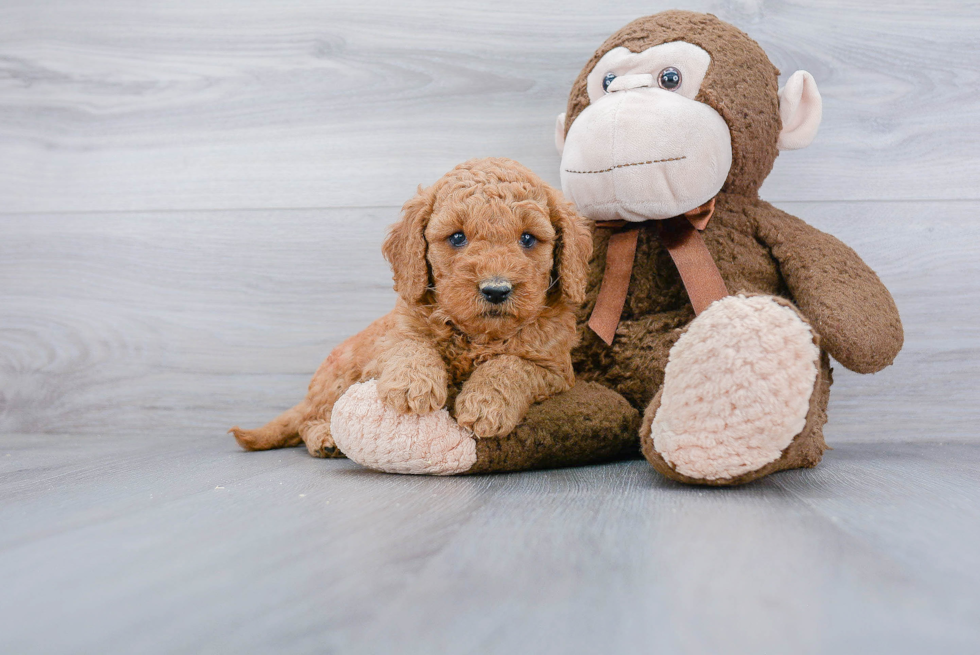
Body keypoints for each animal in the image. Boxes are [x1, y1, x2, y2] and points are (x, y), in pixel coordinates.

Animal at [231, 158, 592, 456]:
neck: (477, 336)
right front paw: (412, 384)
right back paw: (325, 437)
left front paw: (486, 406)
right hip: (336, 376)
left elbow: (510, 365)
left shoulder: (555, 369)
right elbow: (409, 346)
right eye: (457, 237)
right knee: (309, 419)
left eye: (528, 239)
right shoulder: (391, 337)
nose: (496, 290)